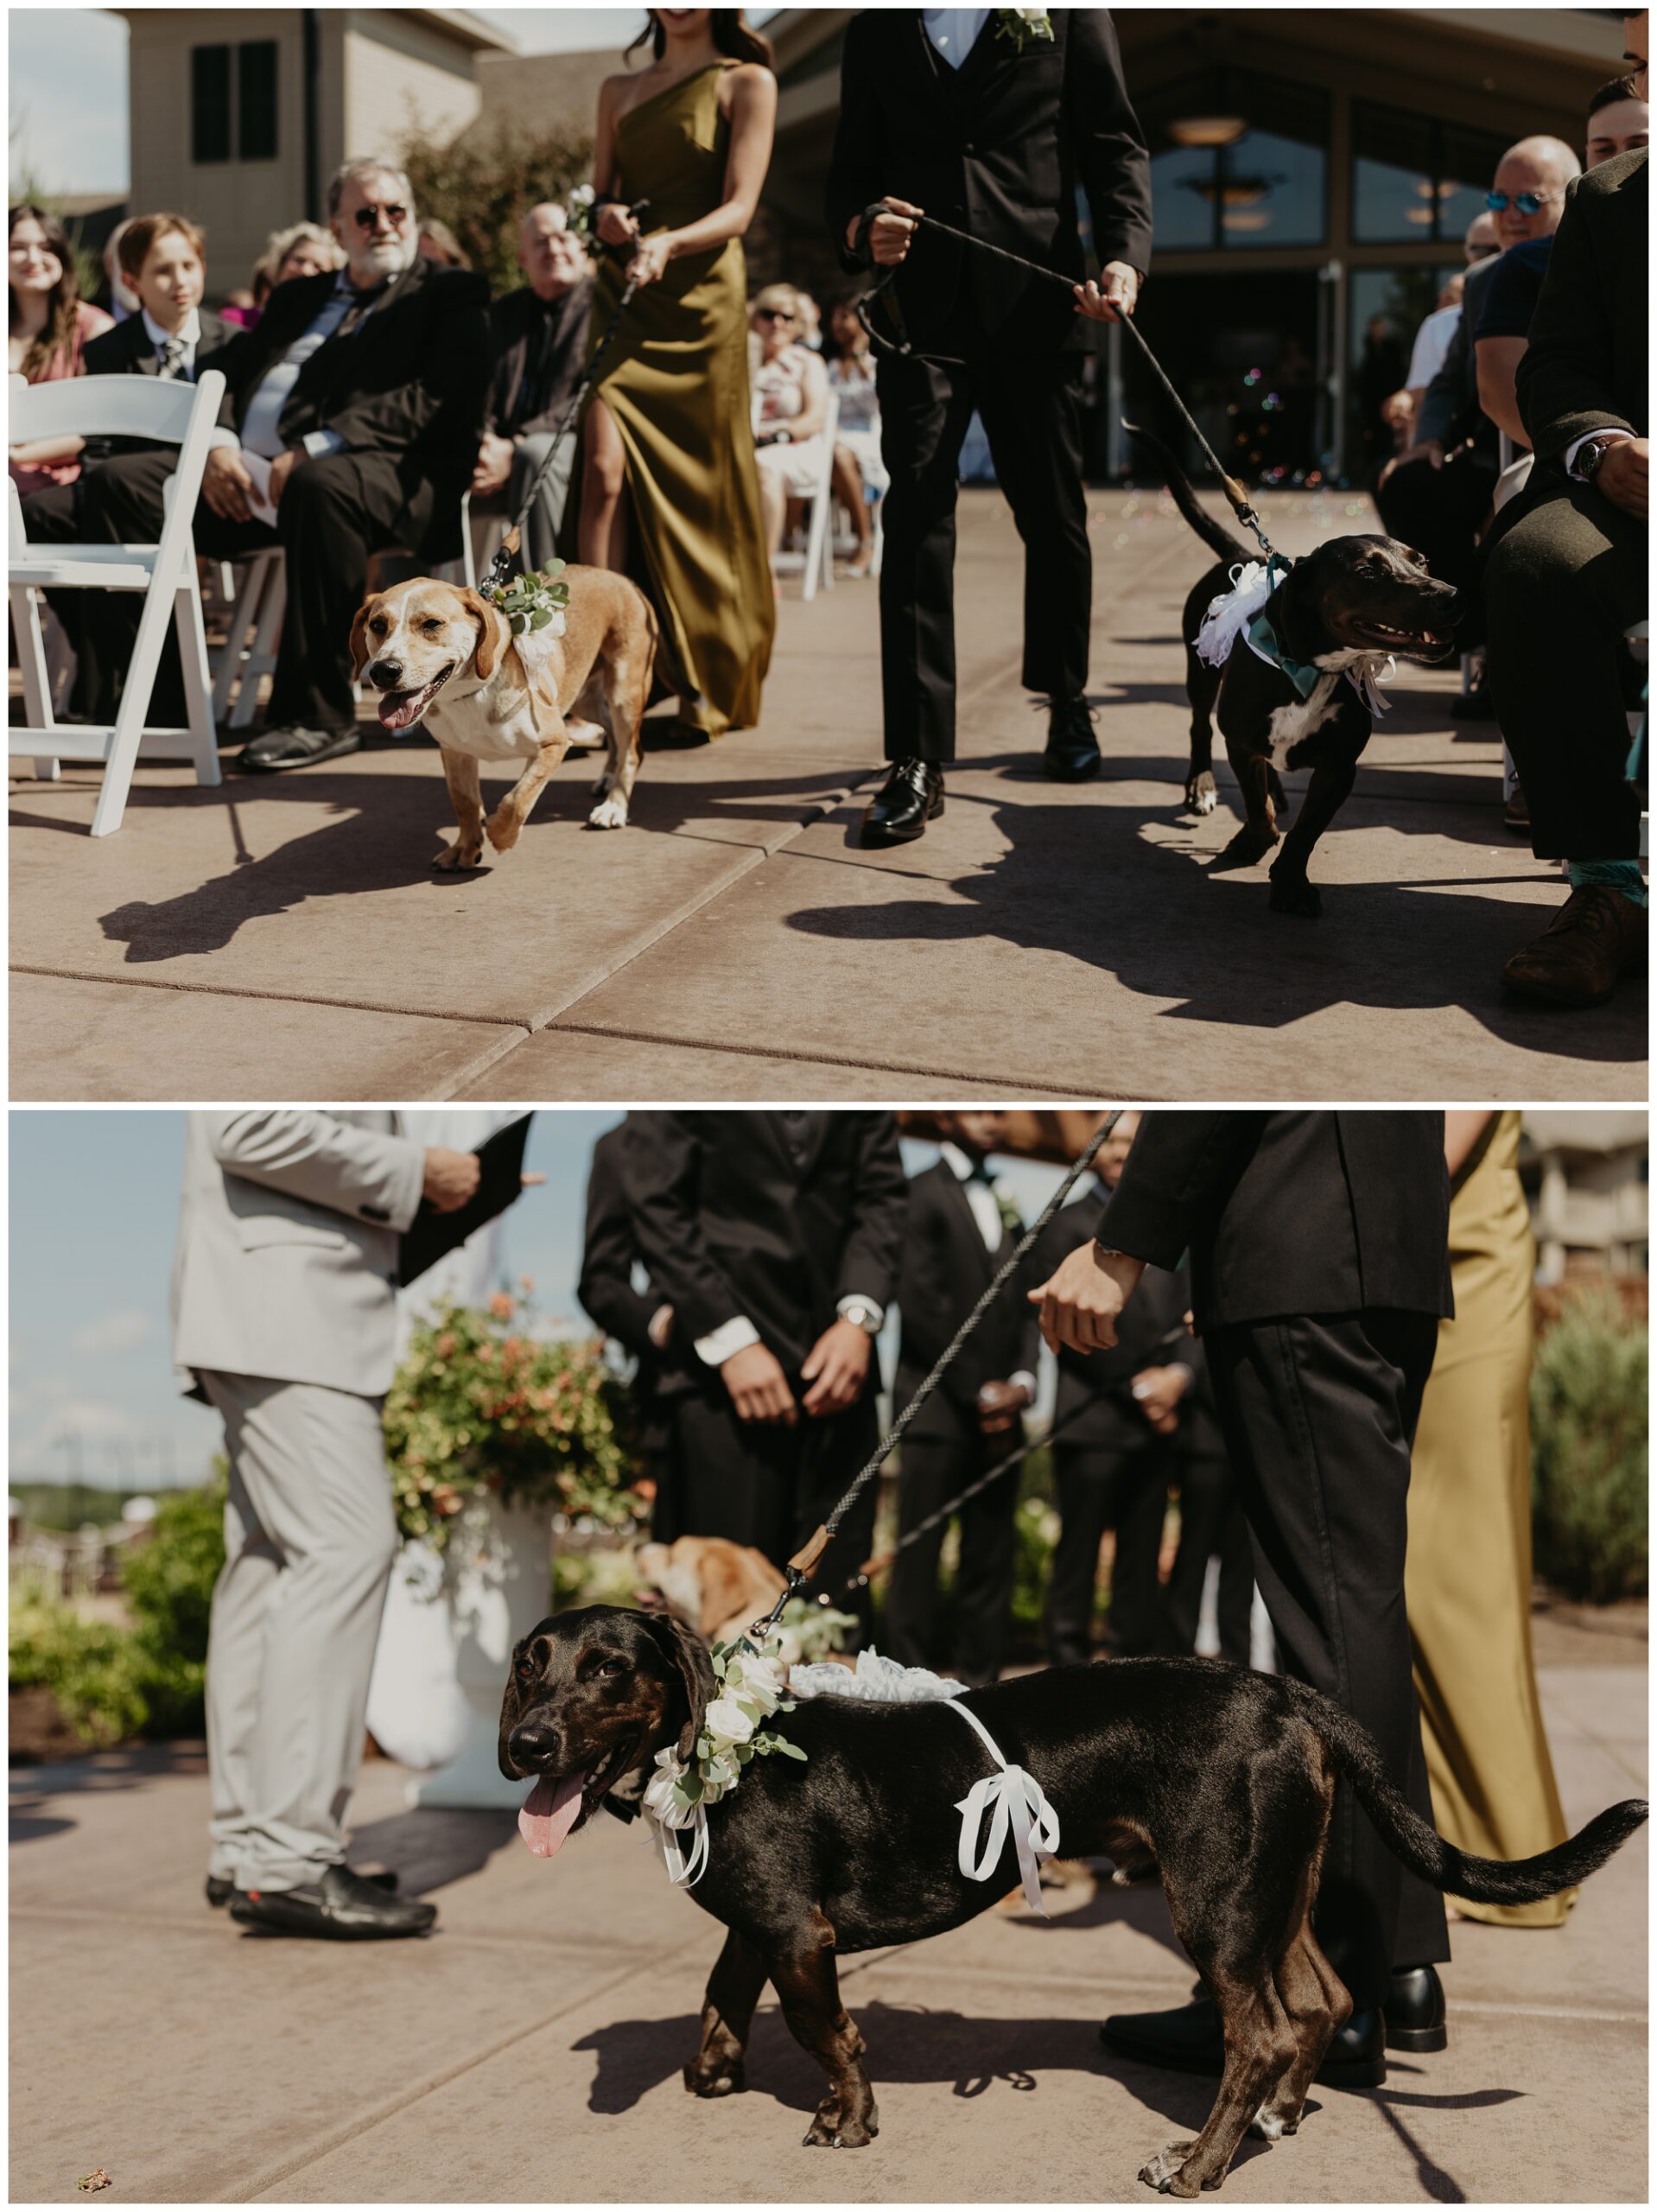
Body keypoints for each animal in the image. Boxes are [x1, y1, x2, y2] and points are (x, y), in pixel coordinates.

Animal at [352, 566, 659, 867]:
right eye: (377, 625)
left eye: (431, 624)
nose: (383, 671)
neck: (469, 693)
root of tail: (622, 578)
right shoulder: (455, 751)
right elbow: (464, 802)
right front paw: (466, 846)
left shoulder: (554, 742)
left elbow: (517, 799)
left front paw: (501, 835)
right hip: (585, 697)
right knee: (615, 736)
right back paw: (608, 776)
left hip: (622, 692)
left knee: (632, 752)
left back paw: (614, 806)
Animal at [498, 1610, 1636, 2194]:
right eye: (527, 1665)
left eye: (609, 1669)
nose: (522, 1745)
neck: (718, 1762)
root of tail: (1283, 1692)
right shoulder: (761, 1925)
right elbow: (719, 1991)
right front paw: (715, 2073)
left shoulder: (795, 1930)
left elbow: (828, 2035)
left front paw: (846, 2121)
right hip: (1276, 1891)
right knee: (1320, 2001)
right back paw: (1276, 2119)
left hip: (1216, 1903)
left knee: (1262, 2032)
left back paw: (1199, 2162)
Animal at [1141, 422, 1460, 915]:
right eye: (1368, 571)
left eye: (1422, 561)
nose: (1452, 596)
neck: (1315, 670)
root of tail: (1243, 553)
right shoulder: (1241, 740)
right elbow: (1257, 808)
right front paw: (1252, 843)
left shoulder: (1339, 769)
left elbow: (1305, 833)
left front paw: (1290, 882)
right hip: (1201, 673)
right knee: (1199, 727)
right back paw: (1202, 785)